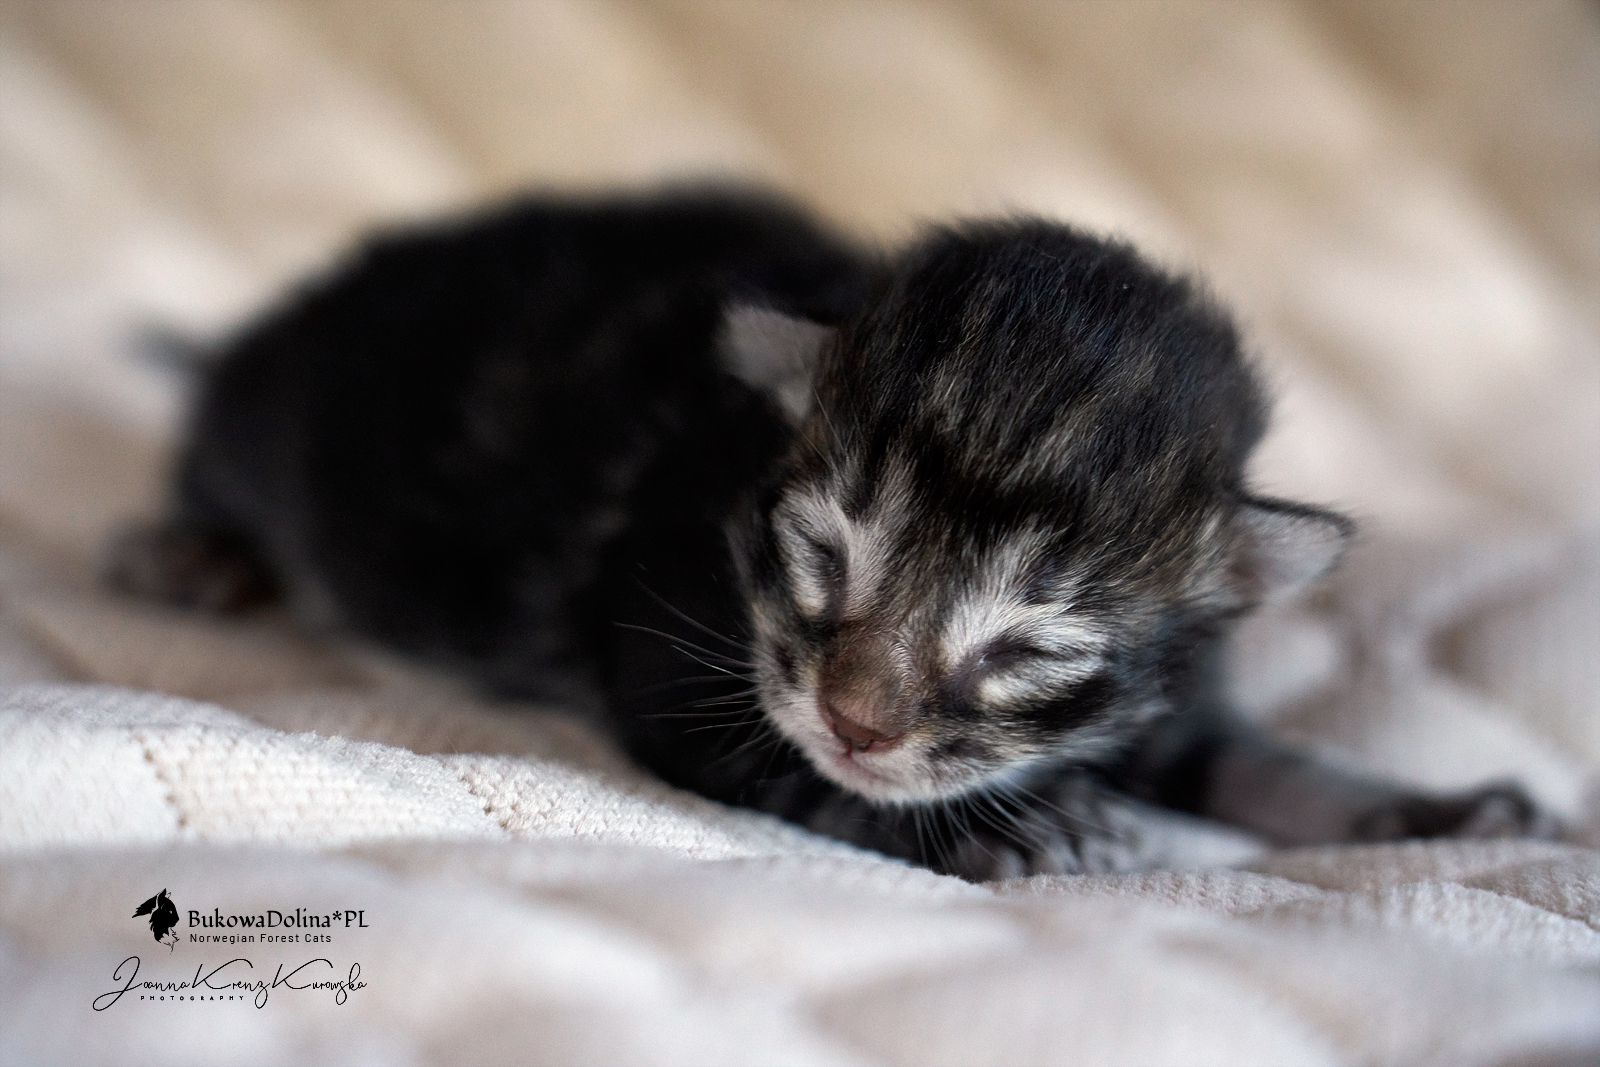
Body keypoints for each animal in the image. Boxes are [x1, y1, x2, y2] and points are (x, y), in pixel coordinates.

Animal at [105, 187, 1553, 879]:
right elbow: (813, 781)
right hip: (271, 414)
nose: (860, 719)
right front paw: (1005, 830)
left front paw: (1431, 809)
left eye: (1028, 647)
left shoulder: (1169, 689)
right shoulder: (678, 663)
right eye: (822, 556)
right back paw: (198, 551)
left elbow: (1261, 764)